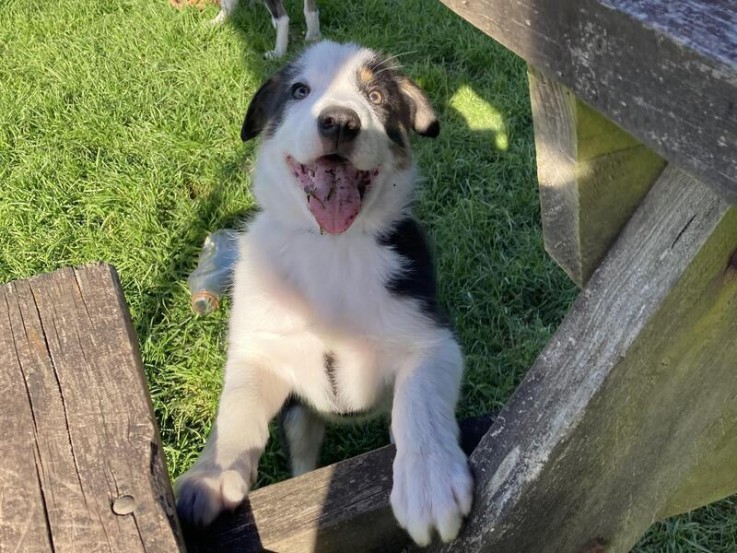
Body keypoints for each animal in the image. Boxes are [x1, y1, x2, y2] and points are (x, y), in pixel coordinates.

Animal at [177, 41, 472, 544]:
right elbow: (236, 409)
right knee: (302, 456)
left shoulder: (432, 338)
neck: (332, 248)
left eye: (376, 96)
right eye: (300, 90)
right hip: (299, 416)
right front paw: (210, 477)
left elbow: (420, 403)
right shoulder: (259, 347)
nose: (339, 122)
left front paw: (430, 484)